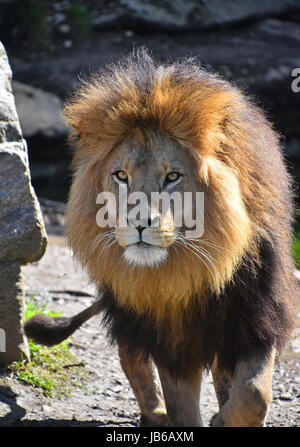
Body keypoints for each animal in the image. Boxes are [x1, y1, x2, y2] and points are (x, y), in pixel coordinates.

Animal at [24, 48, 296, 428]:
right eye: (121, 176)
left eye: (172, 177)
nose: (138, 223)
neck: (193, 272)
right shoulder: (170, 342)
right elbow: (184, 410)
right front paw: (191, 416)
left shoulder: (255, 318)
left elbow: (254, 395)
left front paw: (223, 417)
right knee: (130, 355)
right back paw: (155, 413)